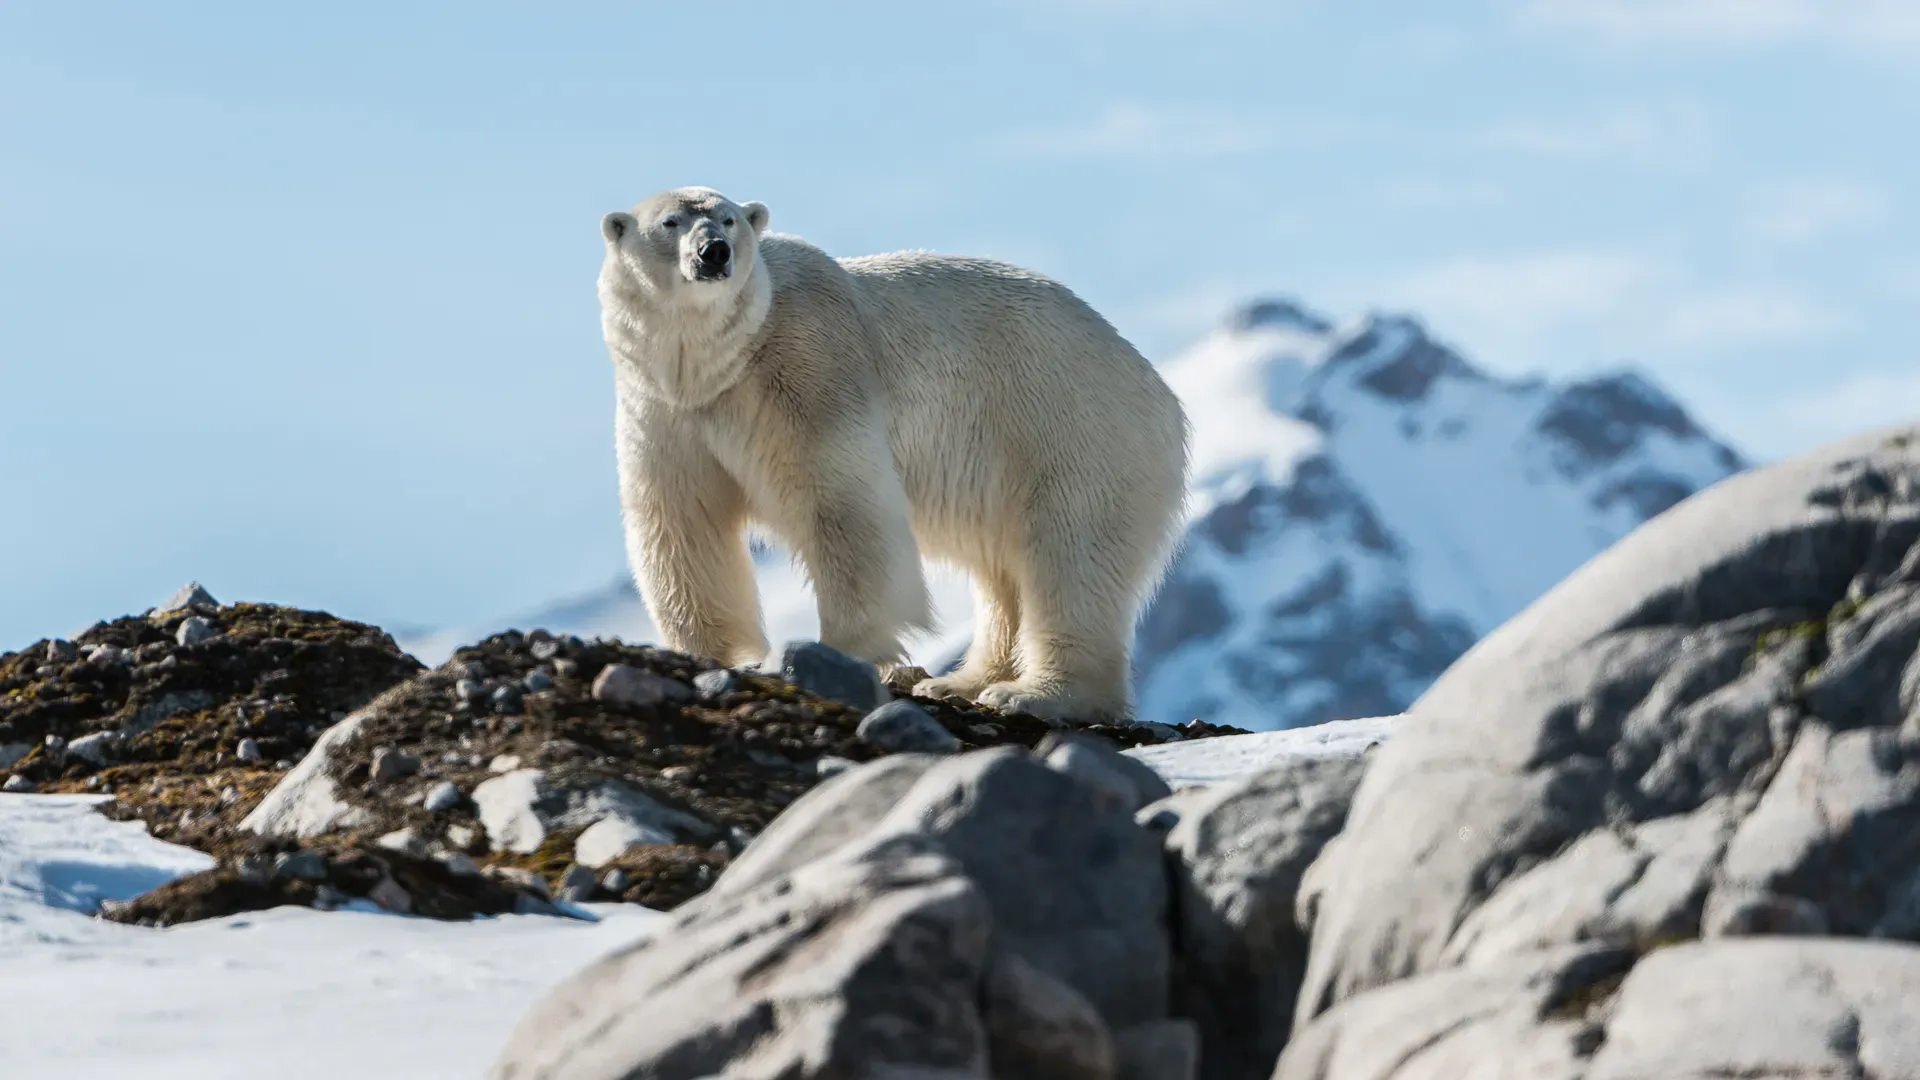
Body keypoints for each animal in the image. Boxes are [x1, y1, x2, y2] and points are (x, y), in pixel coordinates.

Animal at [602, 188, 1182, 718]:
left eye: (727, 219)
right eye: (670, 222)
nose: (714, 253)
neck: (722, 362)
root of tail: (1160, 391)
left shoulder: (808, 369)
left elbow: (841, 506)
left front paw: (838, 650)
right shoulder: (664, 410)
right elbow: (682, 522)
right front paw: (717, 653)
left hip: (1072, 431)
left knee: (1071, 557)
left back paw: (1037, 694)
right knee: (1004, 575)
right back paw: (962, 681)